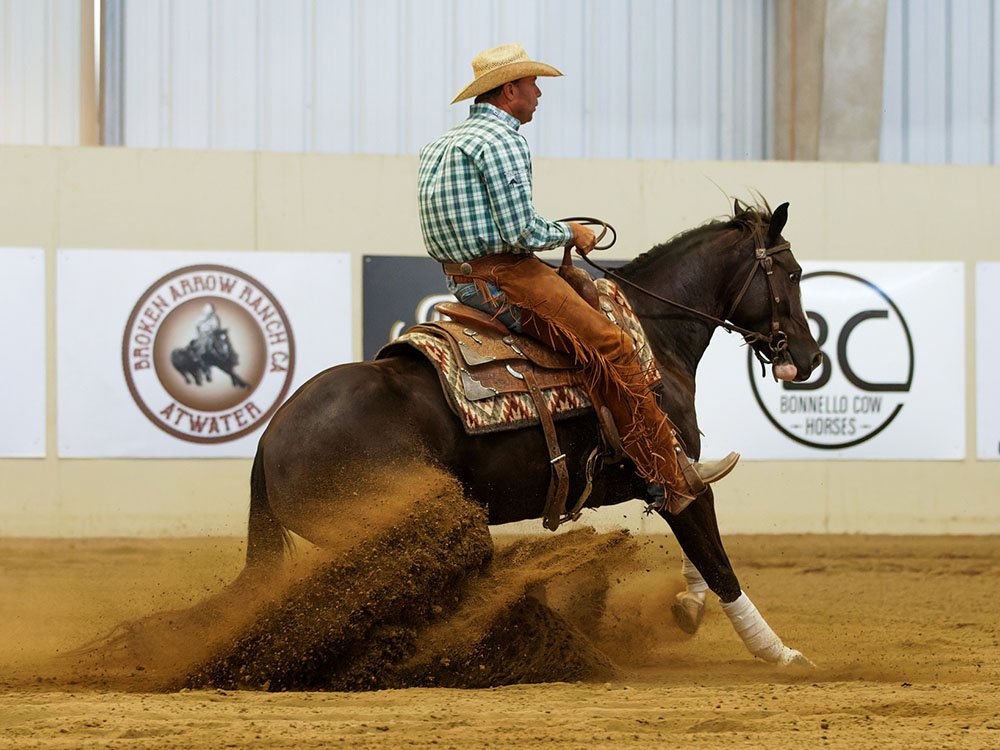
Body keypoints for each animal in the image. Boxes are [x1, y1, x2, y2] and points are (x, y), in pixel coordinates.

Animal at [240, 200, 823, 667]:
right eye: (794, 273)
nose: (812, 356)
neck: (651, 336)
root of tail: (270, 439)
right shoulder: (671, 473)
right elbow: (717, 560)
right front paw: (781, 654)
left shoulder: (679, 479)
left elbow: (703, 553)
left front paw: (688, 607)